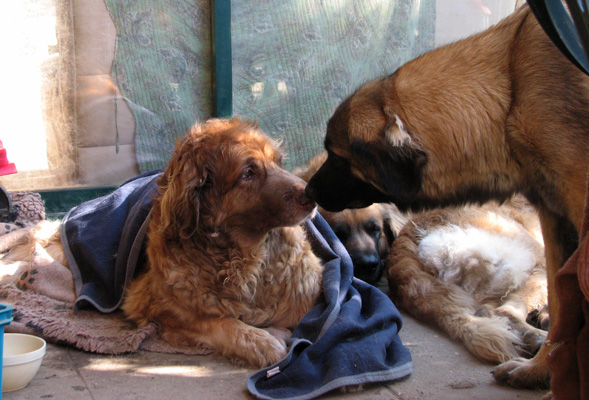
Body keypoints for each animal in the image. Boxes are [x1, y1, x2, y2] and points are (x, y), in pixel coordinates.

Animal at [6, 118, 324, 368]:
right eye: (248, 172)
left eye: (278, 162)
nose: (312, 195)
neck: (241, 259)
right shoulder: (154, 304)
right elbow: (219, 322)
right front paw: (261, 342)